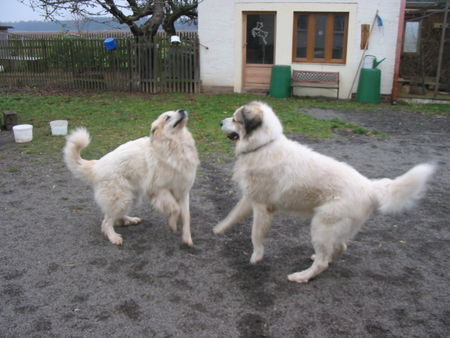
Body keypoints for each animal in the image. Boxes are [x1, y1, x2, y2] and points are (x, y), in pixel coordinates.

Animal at [63, 110, 199, 246]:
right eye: (167, 117)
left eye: (175, 111)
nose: (182, 110)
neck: (175, 143)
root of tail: (96, 165)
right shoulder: (159, 190)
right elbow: (175, 209)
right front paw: (172, 223)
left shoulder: (183, 192)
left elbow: (186, 216)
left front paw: (187, 238)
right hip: (122, 198)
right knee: (106, 222)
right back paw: (114, 237)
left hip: (132, 197)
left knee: (114, 217)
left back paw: (129, 220)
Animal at [214, 101, 436, 284]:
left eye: (235, 119)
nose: (219, 122)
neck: (262, 145)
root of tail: (369, 186)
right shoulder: (250, 197)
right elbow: (233, 215)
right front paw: (219, 229)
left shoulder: (261, 206)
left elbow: (255, 234)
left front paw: (256, 256)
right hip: (334, 228)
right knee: (338, 249)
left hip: (321, 226)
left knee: (323, 261)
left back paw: (302, 276)